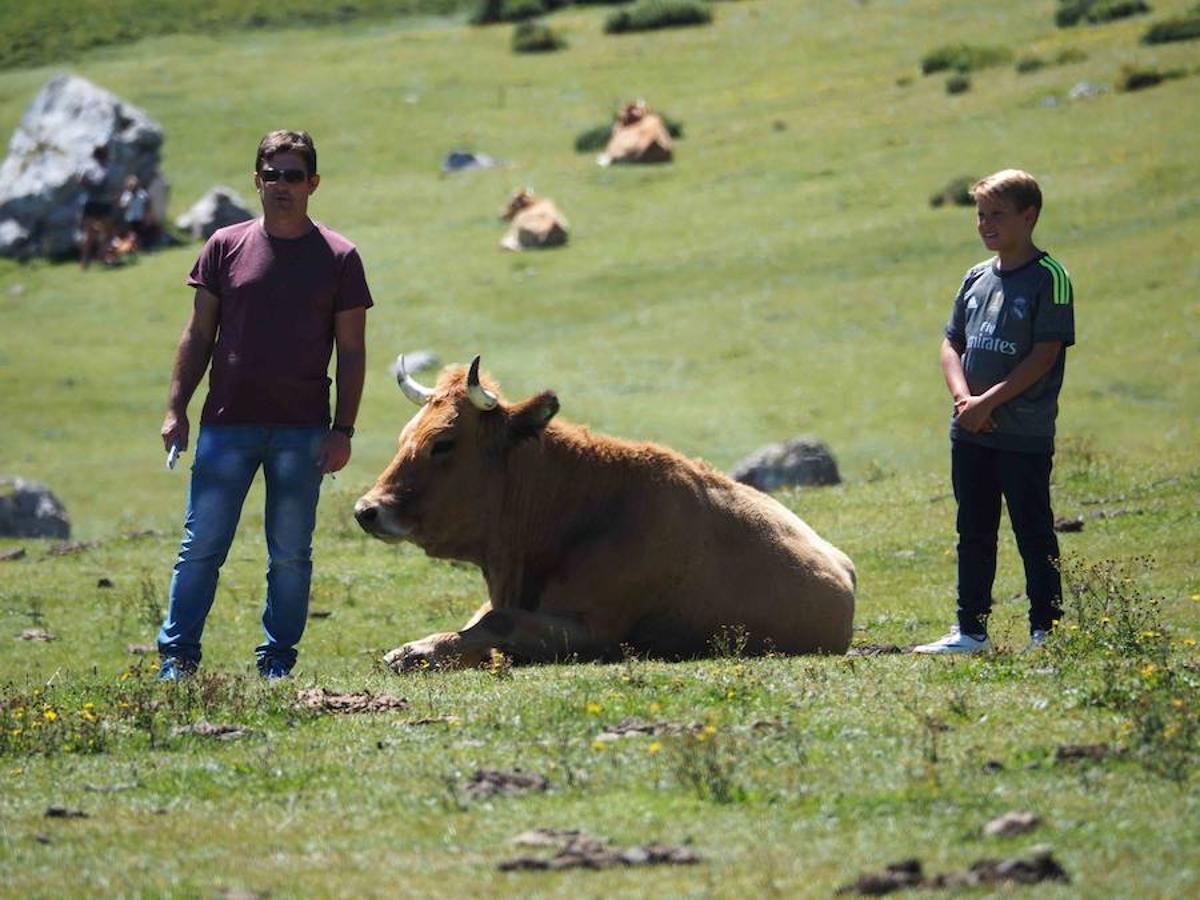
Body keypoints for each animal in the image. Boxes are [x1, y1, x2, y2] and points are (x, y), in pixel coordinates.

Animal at [350, 355, 859, 672]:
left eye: (443, 442)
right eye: (404, 436)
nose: (367, 510)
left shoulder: (598, 632)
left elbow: (498, 623)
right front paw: (413, 649)